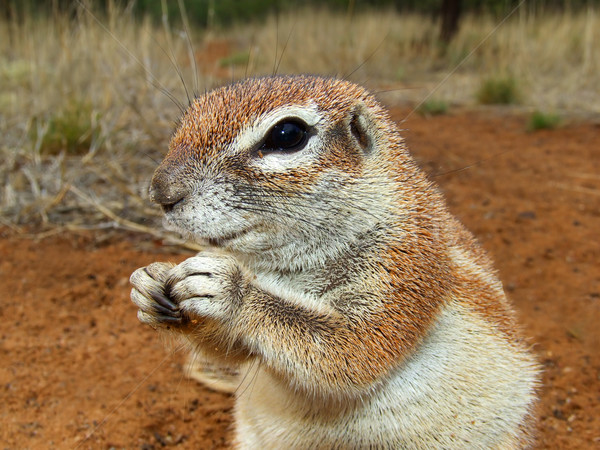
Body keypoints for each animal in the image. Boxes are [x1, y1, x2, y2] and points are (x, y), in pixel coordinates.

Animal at [130, 74, 540, 446]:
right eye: (189, 115)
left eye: (287, 135)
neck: (281, 269)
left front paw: (231, 292)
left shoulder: (405, 266)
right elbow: (237, 351)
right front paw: (149, 285)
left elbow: (353, 347)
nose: (160, 192)